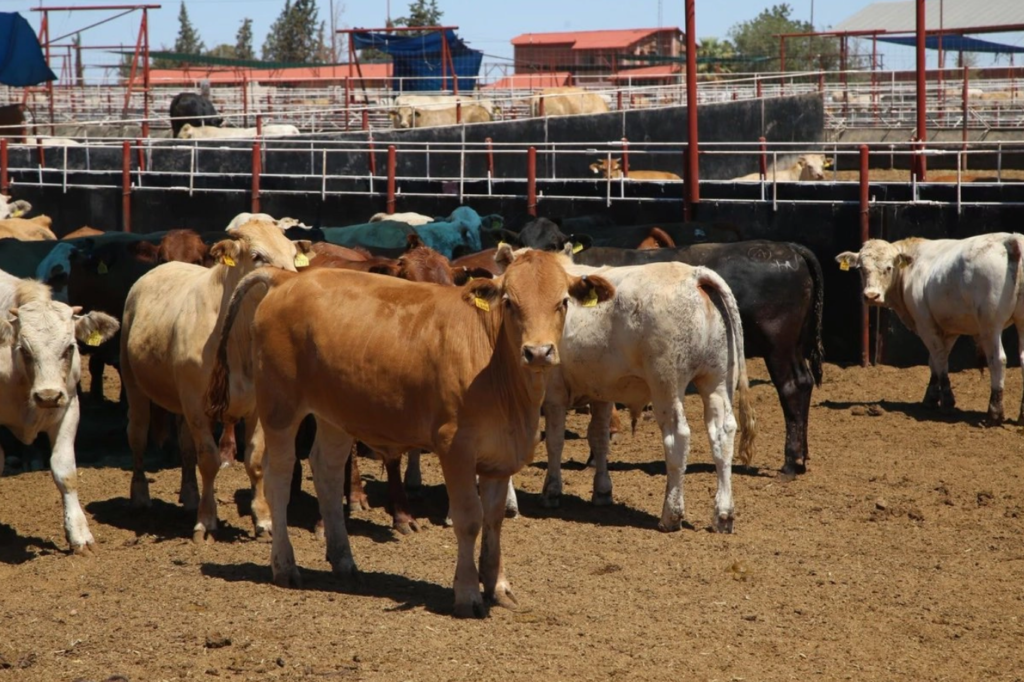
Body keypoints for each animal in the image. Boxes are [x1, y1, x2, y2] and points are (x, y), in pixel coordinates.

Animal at [0, 271, 119, 553]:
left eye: (70, 347)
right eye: (24, 349)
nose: (47, 396)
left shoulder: (69, 407)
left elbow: (65, 471)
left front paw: (79, 535)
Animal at [121, 220, 315, 541]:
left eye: (291, 253)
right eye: (257, 256)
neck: (237, 339)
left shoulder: (257, 406)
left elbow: (255, 459)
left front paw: (263, 519)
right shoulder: (197, 406)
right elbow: (209, 460)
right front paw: (206, 520)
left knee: (186, 446)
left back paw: (189, 495)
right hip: (134, 384)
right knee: (137, 437)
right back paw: (140, 496)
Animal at [205, 246, 615, 617]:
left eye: (563, 301)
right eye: (510, 302)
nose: (538, 352)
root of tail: (287, 278)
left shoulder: (500, 455)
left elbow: (495, 521)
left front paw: (498, 586)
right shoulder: (455, 447)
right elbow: (469, 518)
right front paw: (468, 593)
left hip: (335, 412)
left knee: (327, 470)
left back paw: (344, 560)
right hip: (280, 407)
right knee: (278, 477)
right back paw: (285, 566)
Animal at [500, 250, 755, 531]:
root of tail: (694, 274)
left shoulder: (555, 394)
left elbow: (555, 442)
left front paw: (551, 492)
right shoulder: (601, 393)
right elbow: (599, 438)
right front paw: (602, 492)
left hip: (666, 385)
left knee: (678, 437)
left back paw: (671, 514)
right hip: (717, 380)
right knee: (722, 433)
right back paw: (723, 514)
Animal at [836, 234, 1024, 423]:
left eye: (889, 267)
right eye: (861, 268)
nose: (871, 296)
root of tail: (1010, 239)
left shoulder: (925, 324)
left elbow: (940, 359)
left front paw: (947, 401)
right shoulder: (949, 329)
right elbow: (934, 361)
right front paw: (931, 398)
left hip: (990, 326)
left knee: (997, 360)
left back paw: (994, 412)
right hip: (1020, 323)